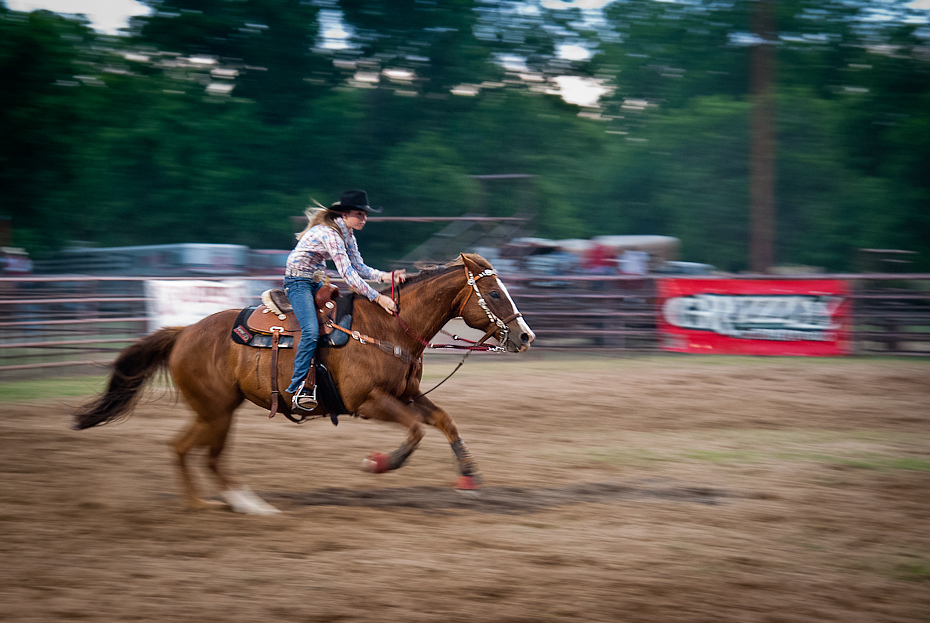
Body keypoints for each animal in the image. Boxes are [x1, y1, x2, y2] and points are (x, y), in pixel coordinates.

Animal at [70, 254, 536, 516]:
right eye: (495, 293)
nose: (526, 336)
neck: (389, 326)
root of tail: (183, 332)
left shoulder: (407, 394)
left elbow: (444, 422)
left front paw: (469, 476)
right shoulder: (368, 401)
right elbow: (416, 430)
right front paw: (379, 463)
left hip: (215, 410)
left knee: (183, 449)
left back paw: (206, 503)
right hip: (216, 411)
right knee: (208, 457)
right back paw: (248, 505)